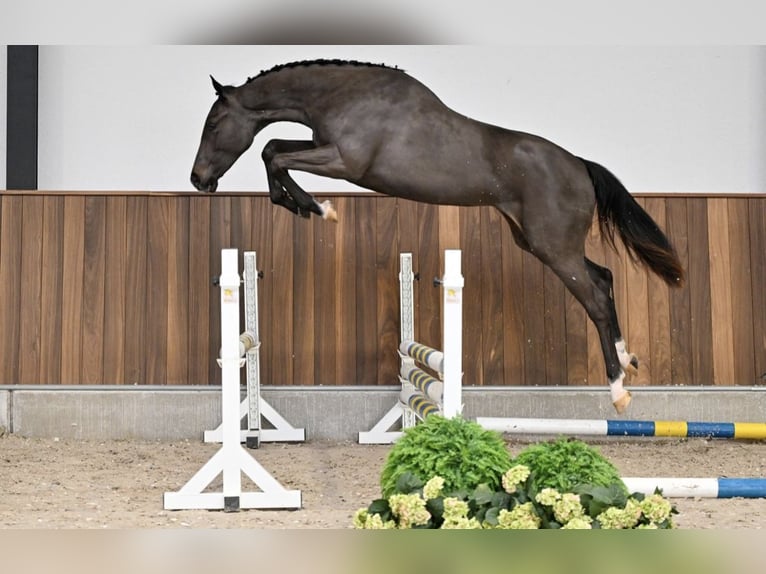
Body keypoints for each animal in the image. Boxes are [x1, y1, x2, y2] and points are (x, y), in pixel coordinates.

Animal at [190, 58, 684, 413]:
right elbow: (274, 149)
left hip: (554, 248)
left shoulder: (345, 162)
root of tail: (579, 165)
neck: (345, 96)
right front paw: (301, 205)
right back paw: (627, 358)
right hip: (536, 242)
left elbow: (273, 154)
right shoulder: (322, 148)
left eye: (213, 123)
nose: (199, 180)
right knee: (604, 277)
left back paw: (618, 391)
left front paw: (320, 209)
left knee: (596, 297)